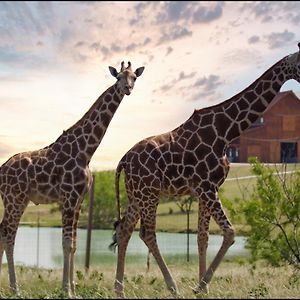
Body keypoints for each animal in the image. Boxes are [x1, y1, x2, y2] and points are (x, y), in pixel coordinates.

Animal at [0, 60, 144, 296]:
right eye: (118, 77)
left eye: (134, 77)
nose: (127, 89)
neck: (86, 150)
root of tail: (2, 170)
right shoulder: (68, 197)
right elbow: (66, 244)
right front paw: (66, 290)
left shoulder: (79, 200)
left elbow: (74, 244)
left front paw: (72, 289)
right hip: (15, 199)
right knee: (9, 236)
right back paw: (15, 289)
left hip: (19, 200)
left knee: (3, 232)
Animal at [111, 42, 300, 298]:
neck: (226, 131)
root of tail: (123, 160)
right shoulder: (208, 187)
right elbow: (229, 232)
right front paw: (201, 285)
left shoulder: (204, 190)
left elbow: (202, 236)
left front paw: (203, 285)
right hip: (149, 193)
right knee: (147, 233)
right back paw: (172, 286)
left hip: (137, 195)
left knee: (125, 228)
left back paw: (119, 289)